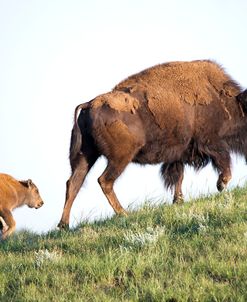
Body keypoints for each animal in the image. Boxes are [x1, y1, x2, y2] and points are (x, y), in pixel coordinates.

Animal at [58, 60, 247, 228]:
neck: (225, 100)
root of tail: (89, 104)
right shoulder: (211, 142)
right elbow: (223, 161)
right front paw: (221, 184)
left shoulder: (178, 153)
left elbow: (178, 176)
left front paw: (178, 200)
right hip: (120, 158)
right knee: (104, 180)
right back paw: (123, 213)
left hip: (85, 155)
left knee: (73, 183)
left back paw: (64, 225)